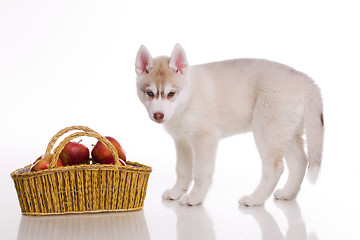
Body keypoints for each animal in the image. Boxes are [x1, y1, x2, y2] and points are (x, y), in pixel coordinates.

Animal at [135, 43, 324, 206]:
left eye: (171, 94)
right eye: (150, 93)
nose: (158, 115)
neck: (187, 98)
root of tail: (305, 80)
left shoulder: (205, 138)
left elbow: (200, 172)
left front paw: (195, 197)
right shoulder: (182, 141)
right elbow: (182, 170)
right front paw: (176, 192)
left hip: (266, 130)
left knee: (275, 168)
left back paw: (255, 199)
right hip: (285, 133)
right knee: (300, 161)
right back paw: (288, 193)